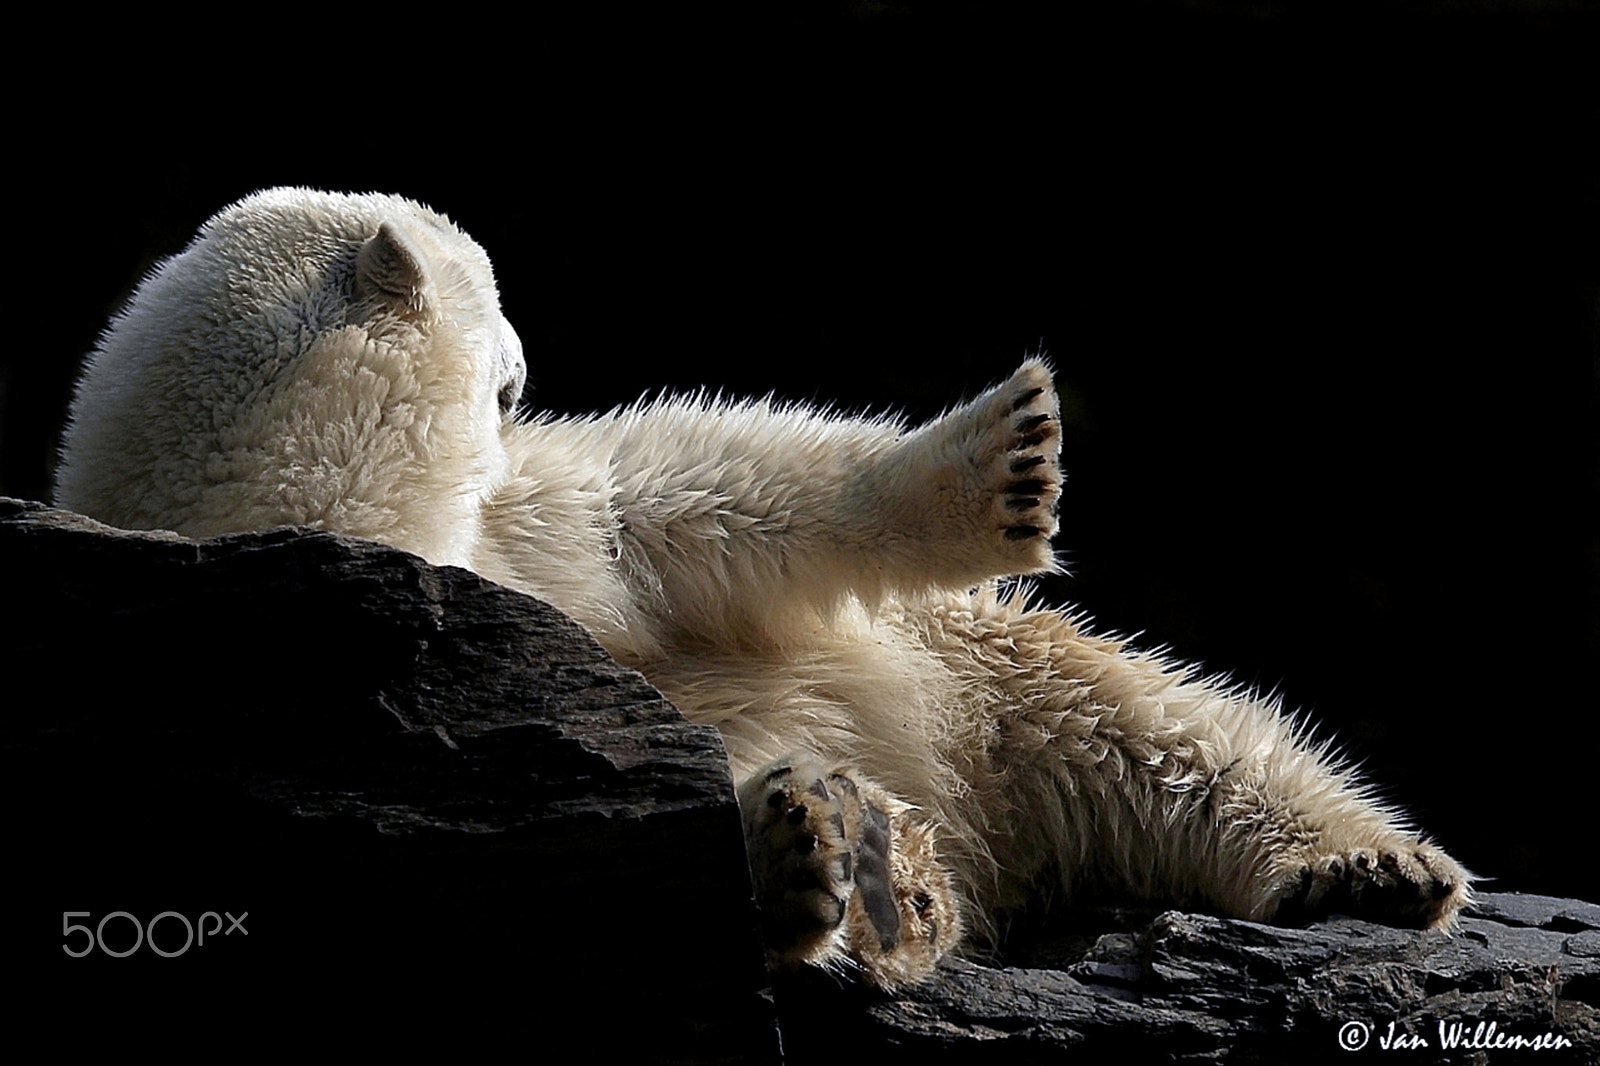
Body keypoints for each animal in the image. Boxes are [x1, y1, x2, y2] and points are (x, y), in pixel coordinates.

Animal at [57, 188, 1472, 990]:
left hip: (981, 685)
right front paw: (811, 854)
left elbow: (681, 502)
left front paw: (1003, 463)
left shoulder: (524, 532)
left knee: (1151, 728)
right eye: (492, 290)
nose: (526, 354)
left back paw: (1360, 868)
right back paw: (908, 896)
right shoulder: (381, 702)